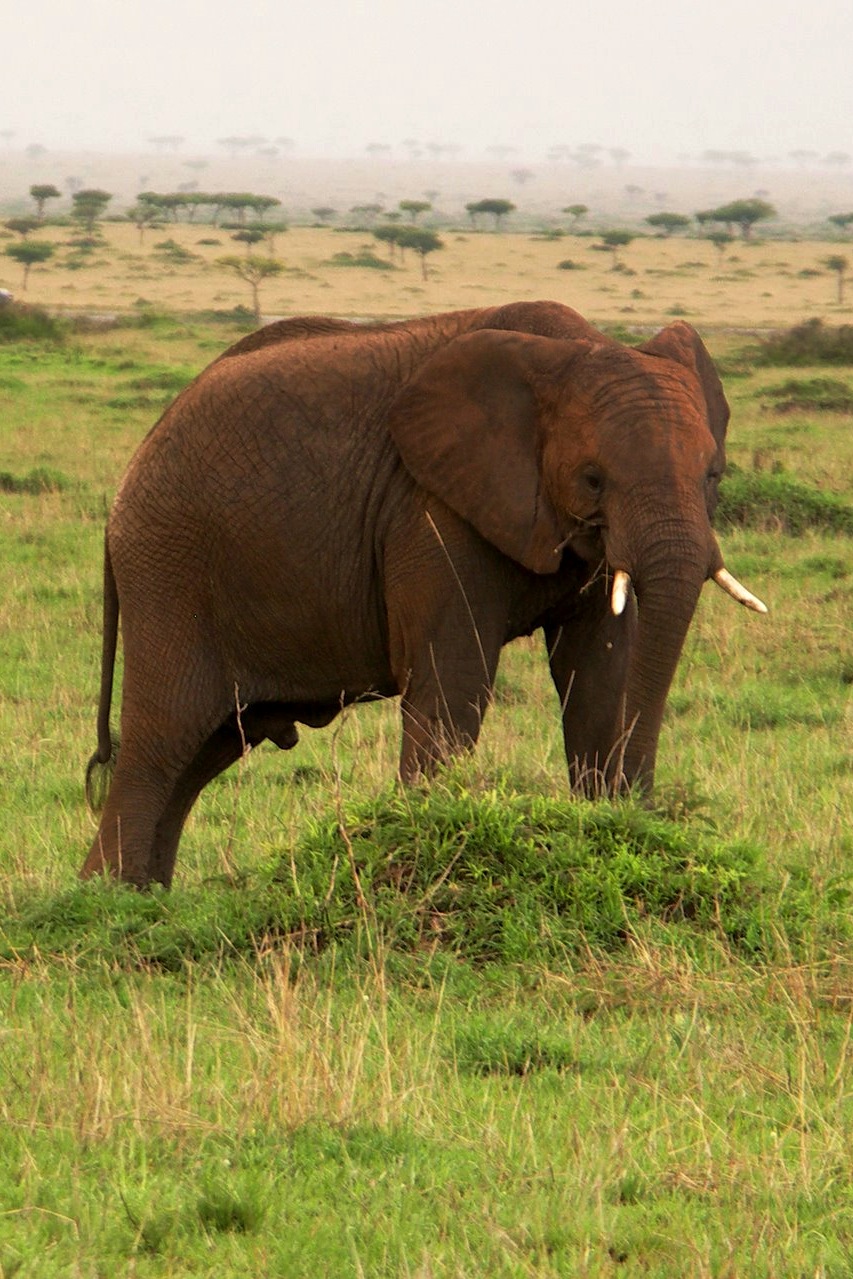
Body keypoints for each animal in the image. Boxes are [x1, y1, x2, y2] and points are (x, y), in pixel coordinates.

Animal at [81, 301, 767, 890]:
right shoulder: (429, 508)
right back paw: (112, 908)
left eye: (713, 476)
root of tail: (124, 487)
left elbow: (599, 676)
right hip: (170, 570)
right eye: (593, 479)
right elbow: (454, 680)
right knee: (161, 744)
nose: (641, 817)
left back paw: (145, 900)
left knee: (205, 751)